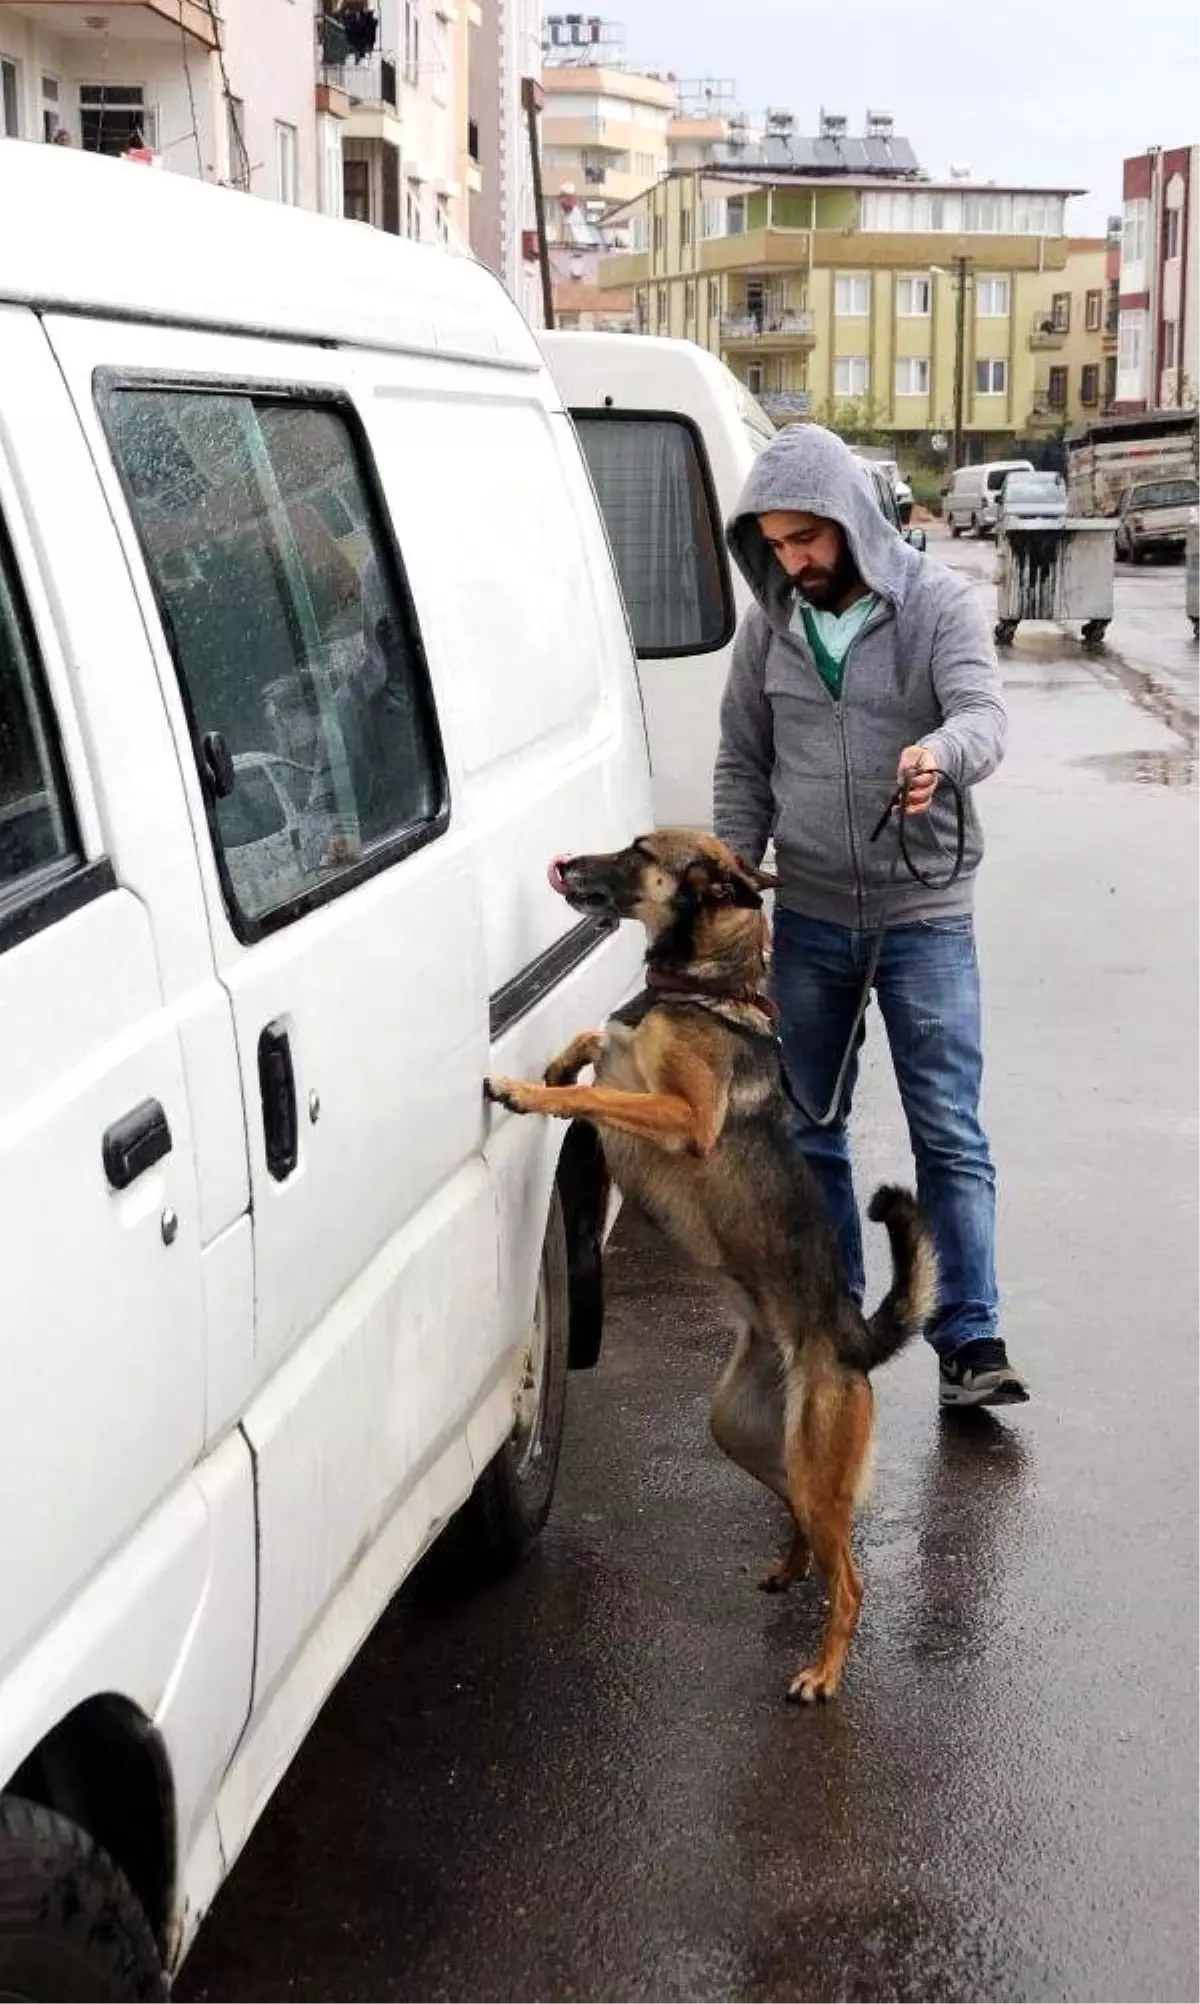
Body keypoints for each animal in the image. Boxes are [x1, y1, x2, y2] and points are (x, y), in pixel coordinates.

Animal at [488, 829, 937, 1707]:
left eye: (637, 851)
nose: (565, 862)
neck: (702, 989)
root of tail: (850, 1342)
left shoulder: (684, 1118)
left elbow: (598, 1097)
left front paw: (526, 1089)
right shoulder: (630, 1060)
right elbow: (594, 1042)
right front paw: (556, 1064)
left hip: (814, 1461)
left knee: (852, 1580)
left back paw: (823, 1673)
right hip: (741, 1433)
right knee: (809, 1527)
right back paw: (790, 1568)